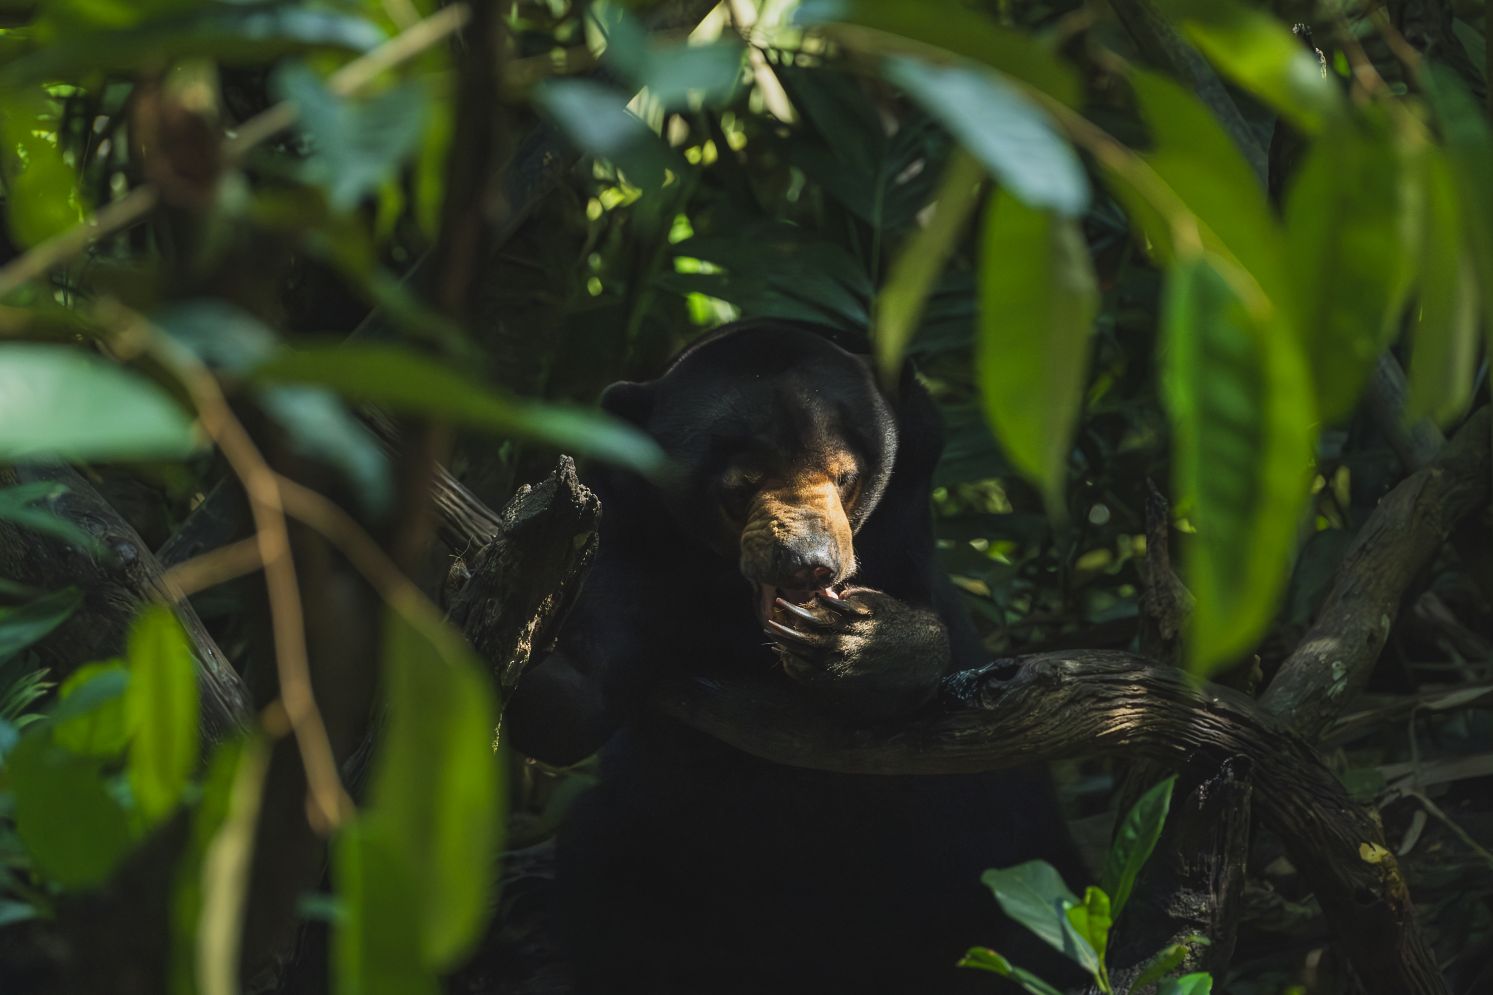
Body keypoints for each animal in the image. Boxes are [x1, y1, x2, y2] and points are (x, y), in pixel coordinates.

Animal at [505, 319, 1084, 994]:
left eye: (846, 477)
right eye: (741, 487)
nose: (809, 563)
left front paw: (855, 642)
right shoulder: (631, 550)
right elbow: (574, 699)